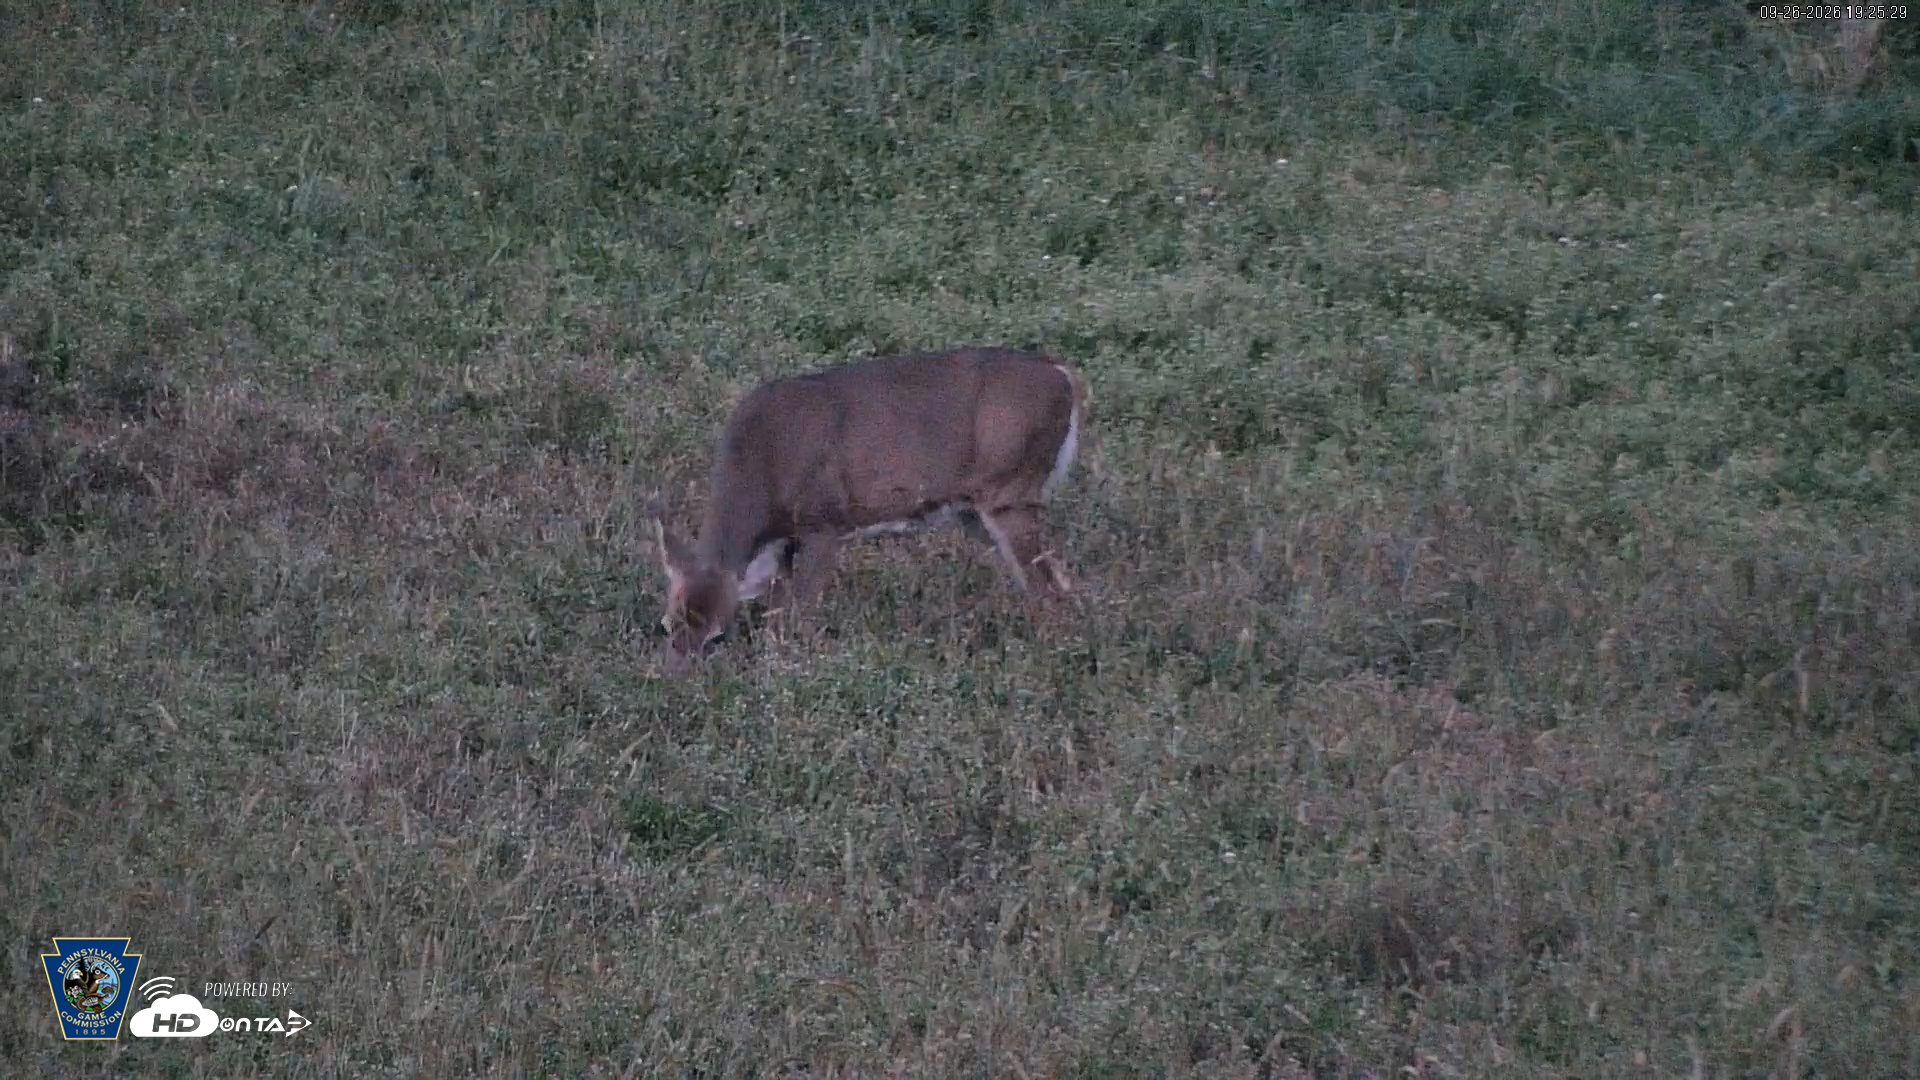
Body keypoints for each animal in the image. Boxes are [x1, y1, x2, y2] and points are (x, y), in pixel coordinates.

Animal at [651, 347, 1089, 673]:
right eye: (667, 625)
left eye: (717, 635)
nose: (672, 680)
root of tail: (1066, 377)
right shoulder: (784, 541)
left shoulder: (825, 522)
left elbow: (795, 617)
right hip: (976, 509)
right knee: (1060, 581)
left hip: (1012, 490)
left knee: (1049, 589)